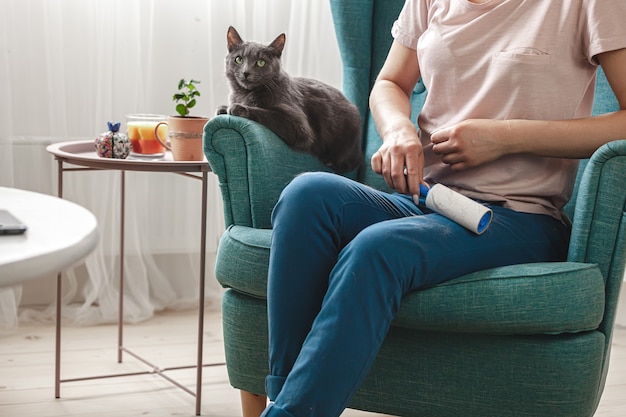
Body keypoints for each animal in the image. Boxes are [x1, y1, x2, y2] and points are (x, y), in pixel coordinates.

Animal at [217, 26, 360, 172]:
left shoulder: (300, 127)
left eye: (261, 62)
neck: (245, 93)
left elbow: (265, 113)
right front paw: (223, 108)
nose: (246, 72)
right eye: (239, 59)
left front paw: (237, 108)